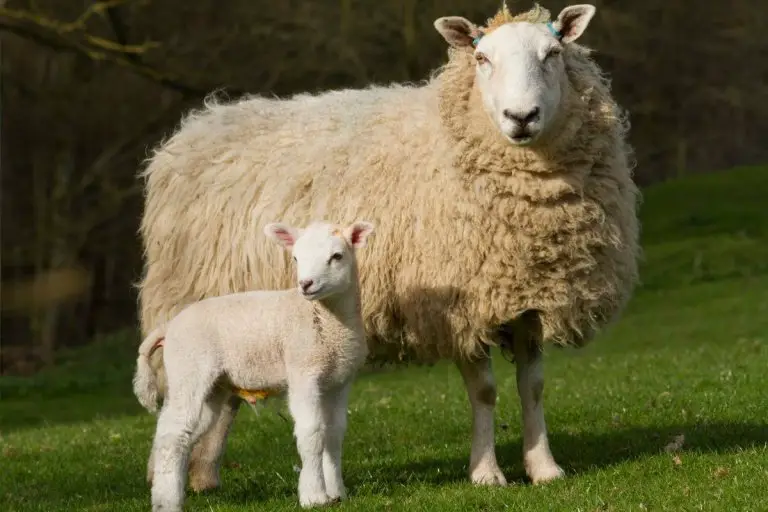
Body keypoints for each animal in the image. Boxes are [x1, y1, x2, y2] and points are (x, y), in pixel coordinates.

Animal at [133, 220, 375, 511]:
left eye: (336, 256)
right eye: (296, 258)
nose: (305, 284)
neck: (328, 322)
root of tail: (168, 328)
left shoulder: (339, 381)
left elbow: (334, 434)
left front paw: (338, 493)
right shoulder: (303, 373)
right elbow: (312, 433)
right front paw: (314, 495)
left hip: (212, 386)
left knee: (185, 434)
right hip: (188, 370)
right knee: (172, 434)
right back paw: (167, 502)